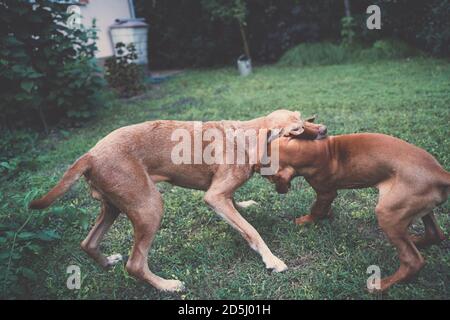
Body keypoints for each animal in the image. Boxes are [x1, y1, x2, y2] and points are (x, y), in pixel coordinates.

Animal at [29, 109, 326, 292]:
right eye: (296, 130)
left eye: (305, 119)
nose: (324, 129)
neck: (247, 136)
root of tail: (89, 155)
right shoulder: (214, 197)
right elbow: (250, 230)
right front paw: (271, 260)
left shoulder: (221, 194)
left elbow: (237, 207)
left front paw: (244, 206)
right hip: (150, 207)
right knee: (135, 264)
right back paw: (167, 286)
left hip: (114, 206)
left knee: (88, 243)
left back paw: (107, 262)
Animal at [268, 129, 448, 292]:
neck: (319, 151)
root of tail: (441, 173)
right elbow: (324, 209)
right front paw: (327, 215)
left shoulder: (326, 192)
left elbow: (316, 209)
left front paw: (305, 221)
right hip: (419, 206)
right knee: (436, 234)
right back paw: (416, 241)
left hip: (388, 213)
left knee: (413, 260)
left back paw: (381, 285)